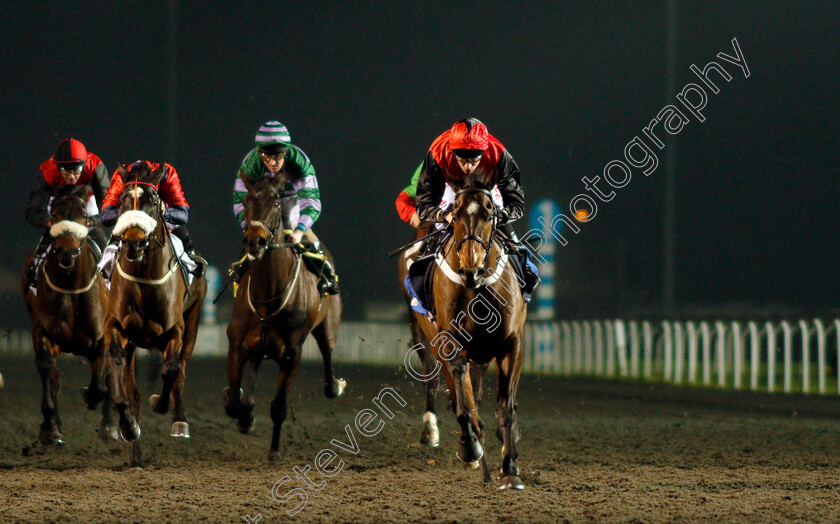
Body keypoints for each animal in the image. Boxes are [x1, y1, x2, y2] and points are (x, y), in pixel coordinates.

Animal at [21, 184, 117, 446]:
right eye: (54, 214)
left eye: (83, 216)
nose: (67, 251)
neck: (71, 287)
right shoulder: (42, 331)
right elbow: (47, 368)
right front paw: (50, 427)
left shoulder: (100, 336)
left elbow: (101, 379)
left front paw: (99, 408)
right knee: (54, 374)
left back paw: (112, 424)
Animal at [103, 164, 207, 466]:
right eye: (123, 201)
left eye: (152, 201)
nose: (134, 243)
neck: (145, 278)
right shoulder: (116, 328)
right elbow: (124, 386)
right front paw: (128, 426)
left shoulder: (175, 330)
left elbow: (171, 369)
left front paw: (159, 404)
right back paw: (135, 450)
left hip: (194, 321)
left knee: (180, 370)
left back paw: (180, 421)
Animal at [226, 172, 344, 458]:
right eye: (246, 200)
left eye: (276, 202)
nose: (255, 241)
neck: (268, 295)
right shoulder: (237, 343)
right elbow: (233, 401)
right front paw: (245, 417)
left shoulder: (293, 353)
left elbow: (279, 407)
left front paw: (274, 450)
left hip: (328, 327)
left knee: (327, 353)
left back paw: (335, 386)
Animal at [414, 186, 524, 490]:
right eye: (455, 216)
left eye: (489, 215)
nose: (471, 271)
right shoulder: (450, 345)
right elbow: (463, 406)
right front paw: (470, 447)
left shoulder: (511, 344)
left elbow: (506, 408)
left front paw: (510, 470)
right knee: (460, 398)